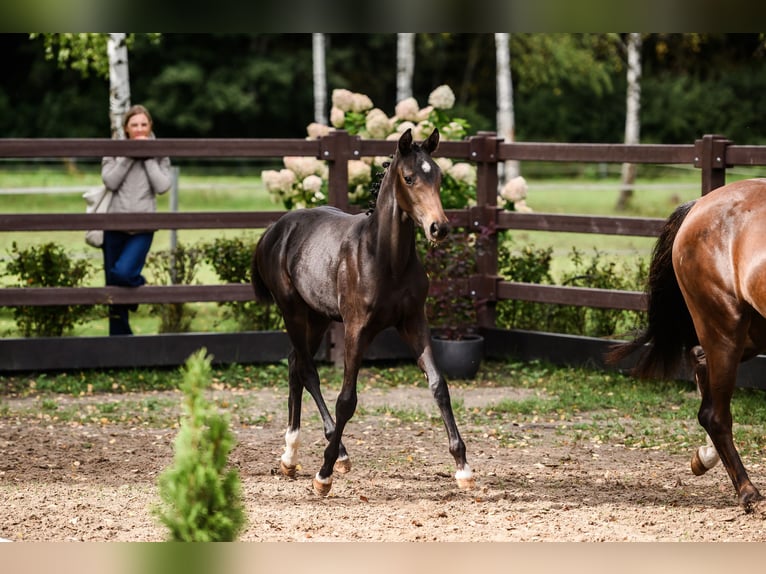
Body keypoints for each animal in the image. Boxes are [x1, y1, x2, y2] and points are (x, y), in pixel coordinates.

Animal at [251, 127, 474, 497]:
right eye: (409, 178)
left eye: (439, 177)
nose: (439, 228)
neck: (385, 257)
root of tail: (275, 229)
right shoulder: (356, 329)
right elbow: (346, 399)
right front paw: (323, 475)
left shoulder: (414, 322)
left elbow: (438, 384)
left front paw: (463, 467)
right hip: (292, 310)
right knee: (307, 369)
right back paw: (333, 455)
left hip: (317, 316)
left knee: (296, 363)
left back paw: (290, 457)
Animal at [606, 178, 766, 512]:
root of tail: (698, 205)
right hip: (725, 326)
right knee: (714, 413)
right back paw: (748, 493)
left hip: (753, 329)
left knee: (700, 362)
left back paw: (705, 458)